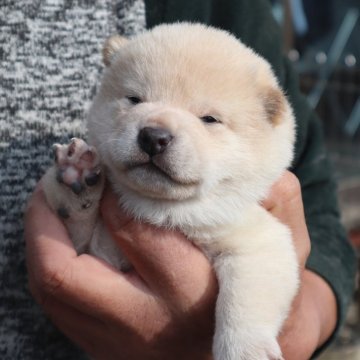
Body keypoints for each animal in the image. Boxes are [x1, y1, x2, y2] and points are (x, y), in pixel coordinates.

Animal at [43, 23, 298, 360]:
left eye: (209, 119)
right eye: (134, 99)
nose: (154, 137)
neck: (159, 206)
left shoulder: (254, 238)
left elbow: (245, 297)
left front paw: (244, 350)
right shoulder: (93, 248)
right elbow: (77, 227)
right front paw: (78, 174)